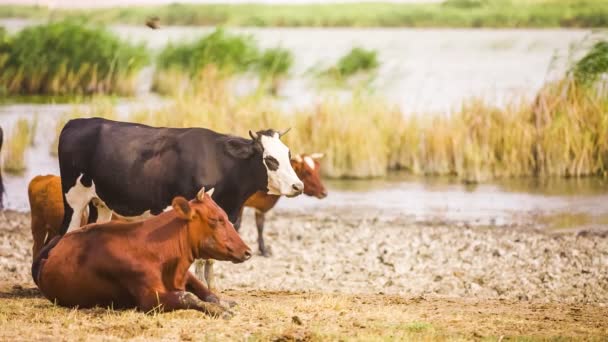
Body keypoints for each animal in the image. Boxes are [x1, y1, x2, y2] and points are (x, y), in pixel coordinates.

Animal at [30, 187, 249, 318]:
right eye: (216, 219)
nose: (248, 251)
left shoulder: (184, 275)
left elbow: (206, 292)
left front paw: (224, 303)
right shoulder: (149, 299)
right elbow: (189, 297)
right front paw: (218, 311)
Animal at [57, 116, 304, 236]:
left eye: (288, 154)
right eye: (270, 159)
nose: (298, 186)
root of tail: (76, 122)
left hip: (101, 204)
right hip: (74, 200)